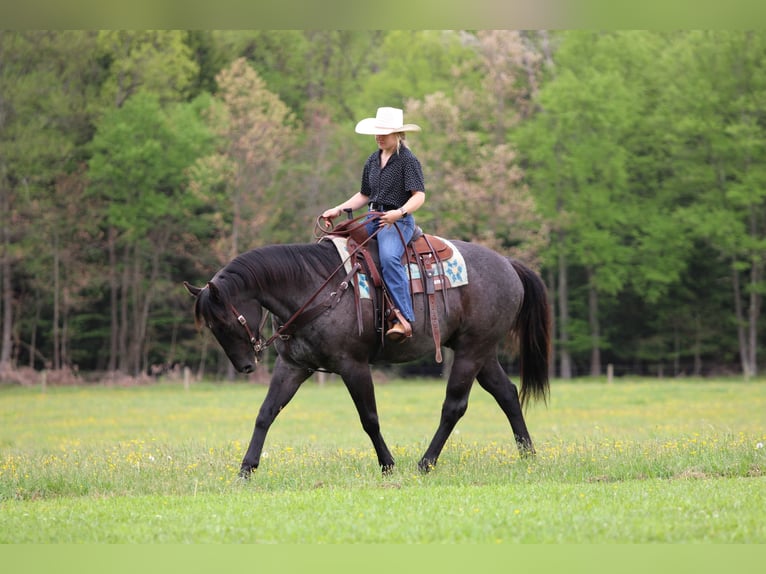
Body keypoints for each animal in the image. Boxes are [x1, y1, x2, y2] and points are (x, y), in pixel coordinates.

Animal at [184, 232, 551, 478]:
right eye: (212, 326)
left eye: (225, 321)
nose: (246, 365)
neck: (315, 288)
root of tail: (508, 265)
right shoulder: (294, 366)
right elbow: (266, 413)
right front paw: (246, 468)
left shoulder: (354, 365)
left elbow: (369, 418)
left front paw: (387, 464)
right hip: (481, 352)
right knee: (507, 394)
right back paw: (528, 455)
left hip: (472, 352)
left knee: (454, 406)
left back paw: (425, 462)